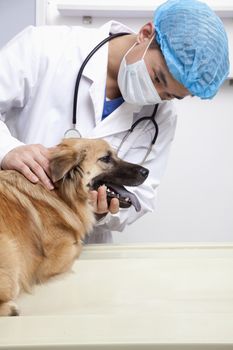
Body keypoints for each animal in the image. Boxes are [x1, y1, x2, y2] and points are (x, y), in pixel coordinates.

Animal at [0, 138, 148, 316]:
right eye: (106, 158)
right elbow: (77, 246)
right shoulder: (53, 259)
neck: (61, 193)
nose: (147, 171)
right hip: (11, 255)